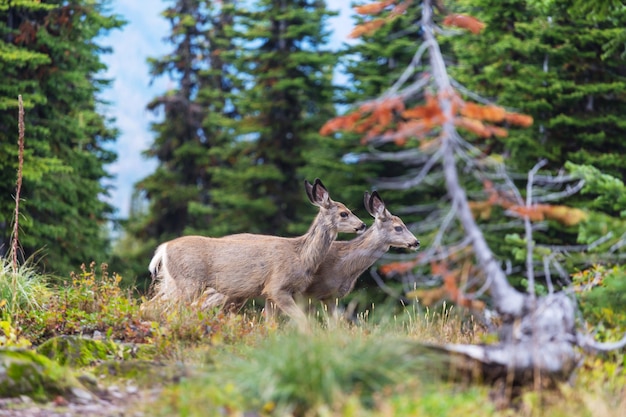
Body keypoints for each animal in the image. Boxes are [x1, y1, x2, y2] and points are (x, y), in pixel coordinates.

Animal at [147, 177, 366, 326]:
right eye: (344, 213)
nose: (362, 225)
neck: (300, 255)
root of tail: (163, 249)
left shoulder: (269, 294)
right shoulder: (277, 287)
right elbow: (303, 321)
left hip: (173, 283)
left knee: (153, 304)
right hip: (189, 283)